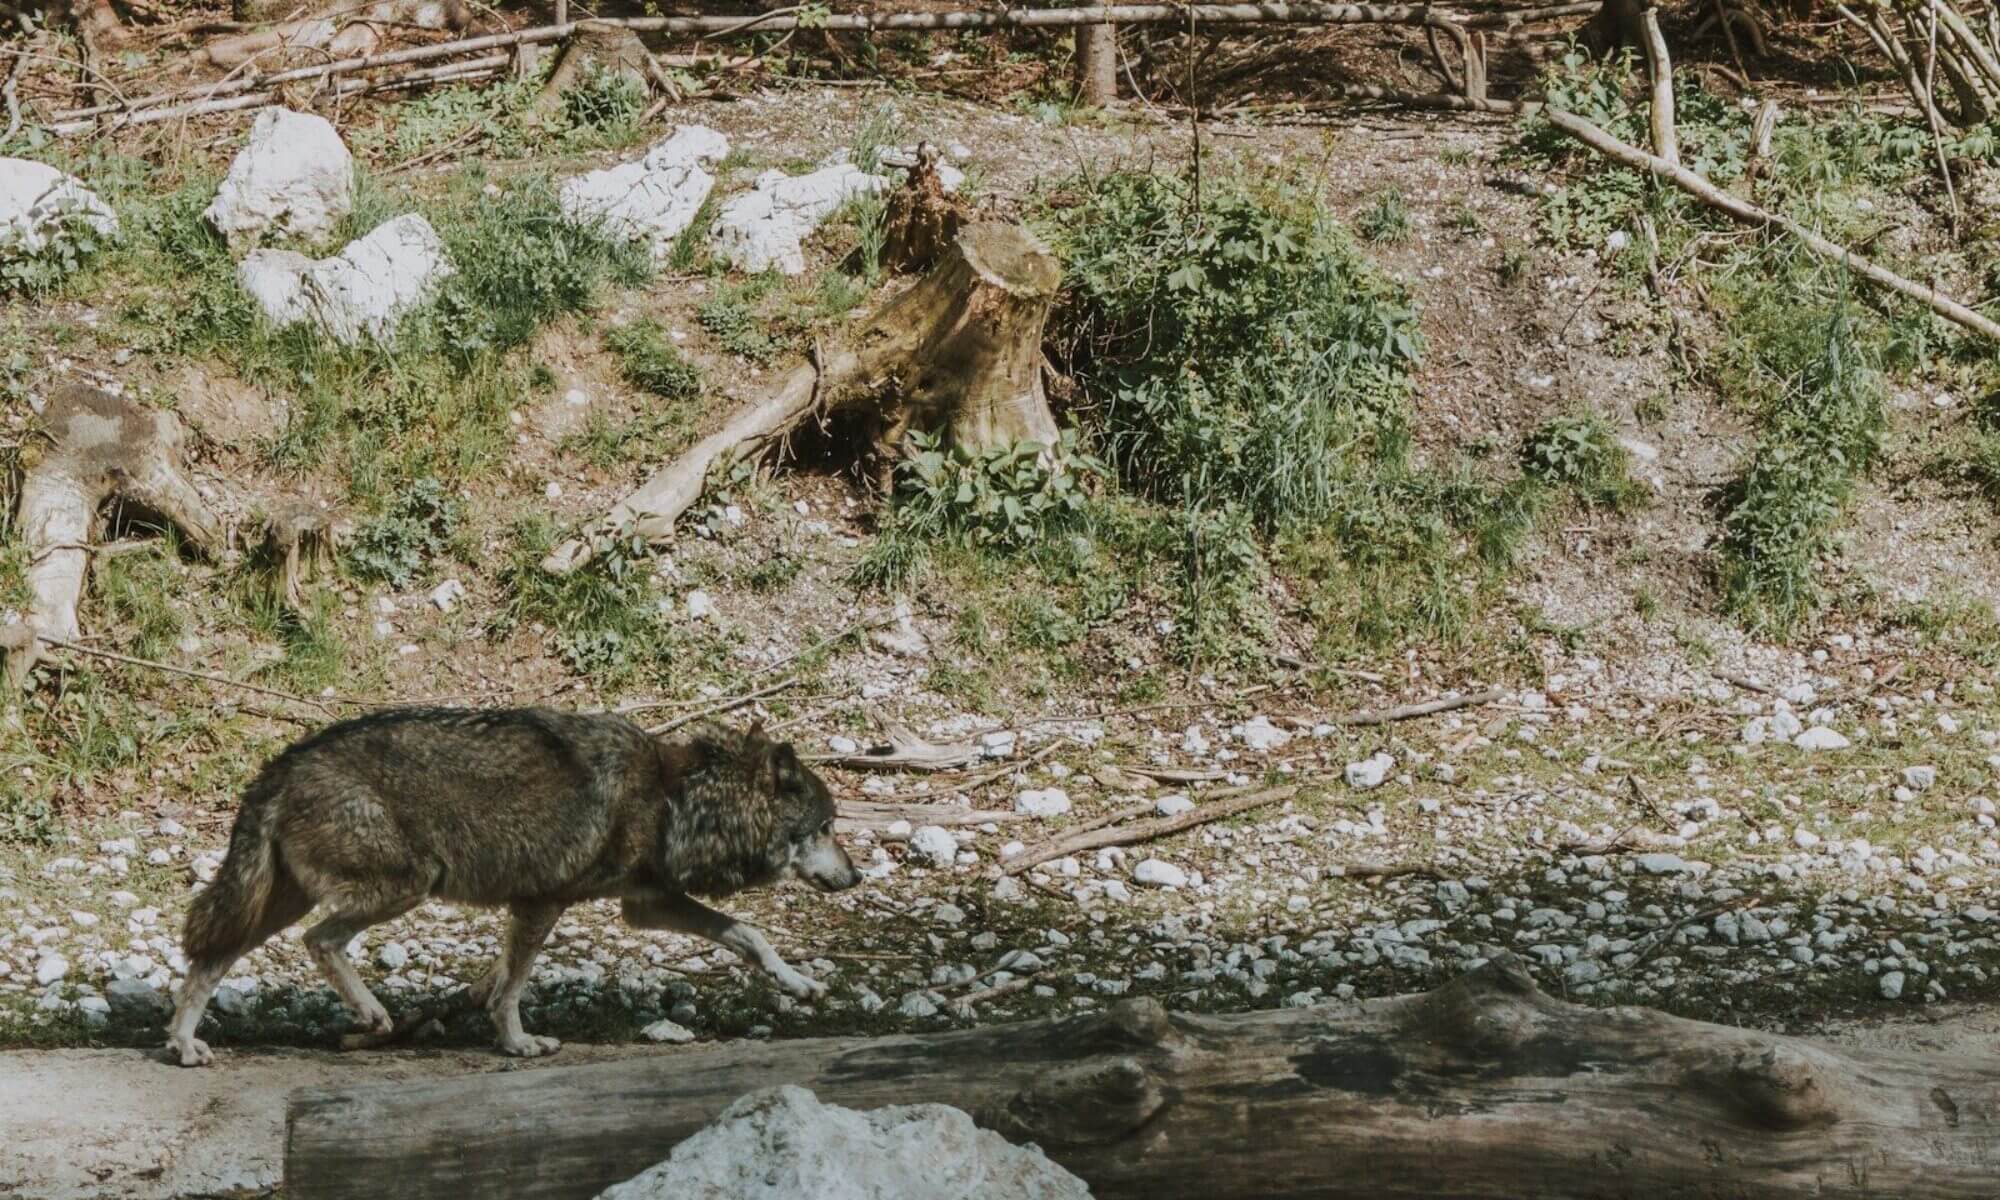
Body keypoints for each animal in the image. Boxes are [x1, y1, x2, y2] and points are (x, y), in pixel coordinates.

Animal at [164, 707, 859, 1066]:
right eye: (826, 827)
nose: (855, 876)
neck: (674, 798)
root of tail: (279, 766)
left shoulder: (645, 903)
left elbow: (751, 935)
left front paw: (800, 985)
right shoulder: (540, 902)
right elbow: (513, 987)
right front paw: (519, 1042)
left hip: (280, 900)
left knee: (209, 958)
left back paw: (184, 1044)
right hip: (407, 884)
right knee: (320, 941)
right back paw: (371, 1014)